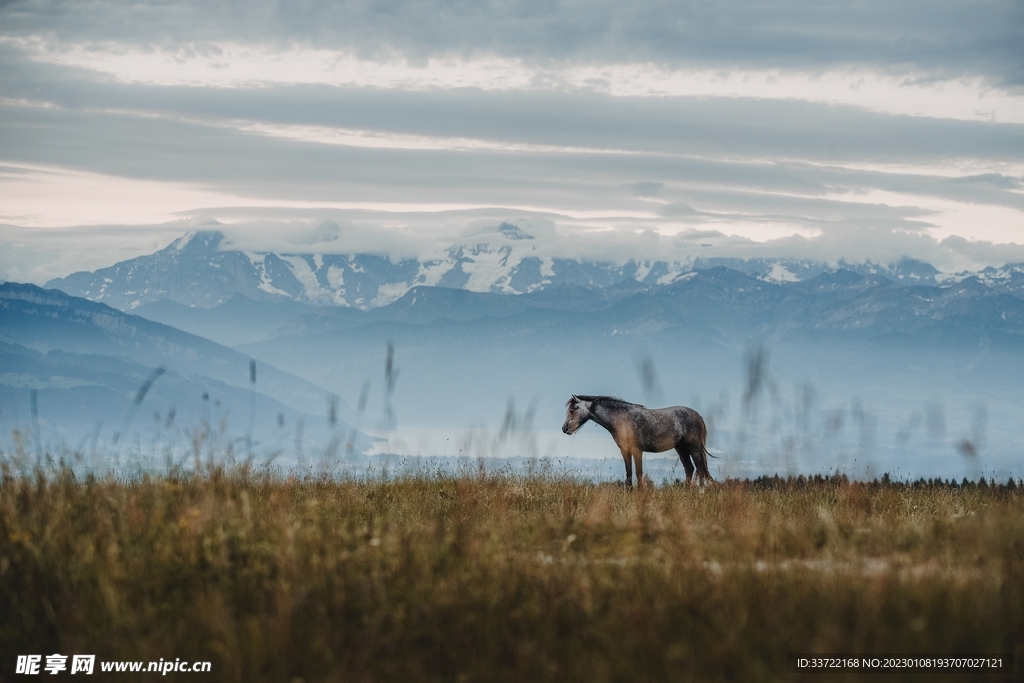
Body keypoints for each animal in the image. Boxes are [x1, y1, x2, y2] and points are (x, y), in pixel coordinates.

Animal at [562, 395, 714, 487]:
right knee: (690, 469)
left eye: (573, 410)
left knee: (700, 468)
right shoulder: (625, 451)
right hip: (681, 449)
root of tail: (698, 416)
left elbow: (638, 473)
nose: (564, 429)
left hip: (693, 448)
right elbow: (629, 474)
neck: (622, 419)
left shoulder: (637, 450)